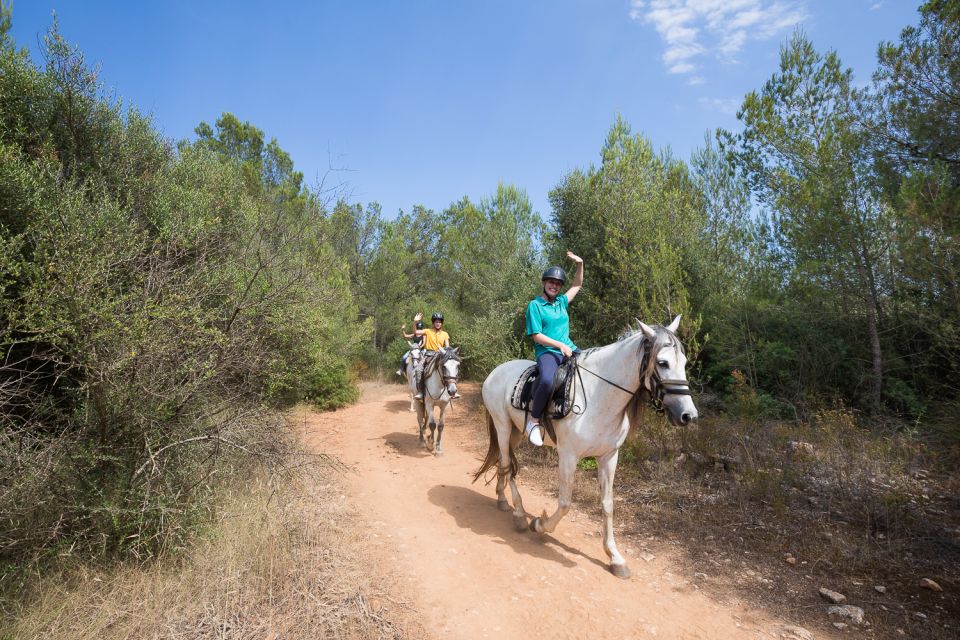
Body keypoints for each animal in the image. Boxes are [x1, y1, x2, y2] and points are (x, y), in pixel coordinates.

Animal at [472, 318, 696, 576]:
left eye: (685, 362)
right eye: (662, 362)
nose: (688, 415)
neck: (599, 395)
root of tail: (496, 371)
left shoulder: (609, 456)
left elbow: (608, 504)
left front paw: (615, 557)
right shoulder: (568, 456)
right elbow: (565, 503)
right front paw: (539, 524)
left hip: (515, 432)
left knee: (502, 461)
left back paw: (502, 500)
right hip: (502, 426)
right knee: (508, 465)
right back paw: (519, 514)